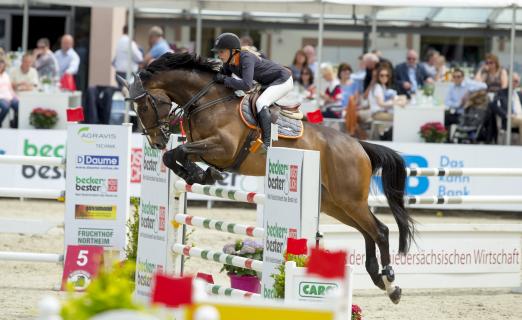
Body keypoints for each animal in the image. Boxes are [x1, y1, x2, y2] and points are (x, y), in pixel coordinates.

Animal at [119, 51, 414, 304]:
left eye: (145, 106)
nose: (156, 141)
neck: (207, 99)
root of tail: (358, 145)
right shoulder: (203, 147)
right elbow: (175, 156)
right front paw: (199, 173)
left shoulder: (223, 148)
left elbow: (178, 152)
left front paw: (200, 173)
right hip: (336, 204)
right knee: (367, 231)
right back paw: (381, 279)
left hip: (349, 199)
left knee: (380, 230)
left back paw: (390, 282)